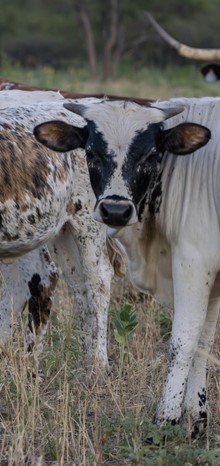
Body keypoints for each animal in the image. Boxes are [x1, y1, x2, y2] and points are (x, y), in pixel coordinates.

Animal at [34, 95, 220, 434]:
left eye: (151, 154)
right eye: (91, 152)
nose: (116, 210)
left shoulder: (194, 260)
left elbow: (183, 341)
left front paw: (165, 420)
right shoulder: (213, 273)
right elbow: (204, 341)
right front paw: (197, 416)